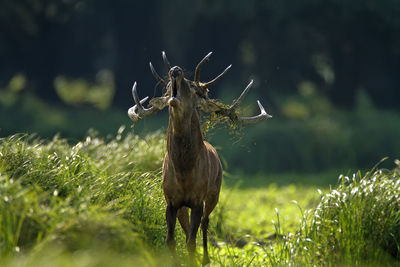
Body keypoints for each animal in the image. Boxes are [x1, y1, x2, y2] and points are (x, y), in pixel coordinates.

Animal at [128, 51, 272, 266]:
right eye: (168, 88)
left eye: (192, 88)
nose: (175, 70)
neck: (183, 171)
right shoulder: (170, 201)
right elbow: (171, 240)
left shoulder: (197, 200)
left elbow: (191, 241)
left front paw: (195, 259)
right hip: (185, 205)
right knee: (188, 228)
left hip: (214, 193)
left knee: (205, 223)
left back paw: (205, 257)